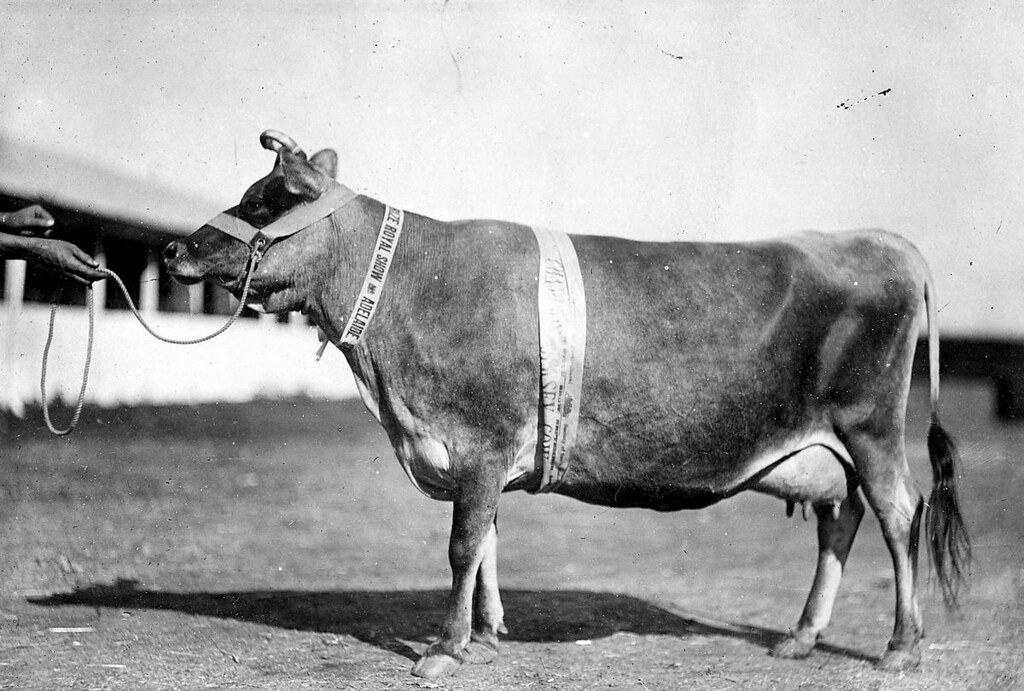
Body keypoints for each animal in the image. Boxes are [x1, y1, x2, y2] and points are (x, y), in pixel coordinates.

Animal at [163, 131, 970, 679]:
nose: (175, 250)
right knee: (842, 519)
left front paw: (444, 649)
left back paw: (900, 647)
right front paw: (486, 633)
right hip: (828, 444)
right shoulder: (476, 456)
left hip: (870, 425)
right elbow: (487, 540)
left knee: (898, 513)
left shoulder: (479, 440)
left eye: (260, 202)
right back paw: (800, 637)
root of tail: (879, 240)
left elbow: (462, 545)